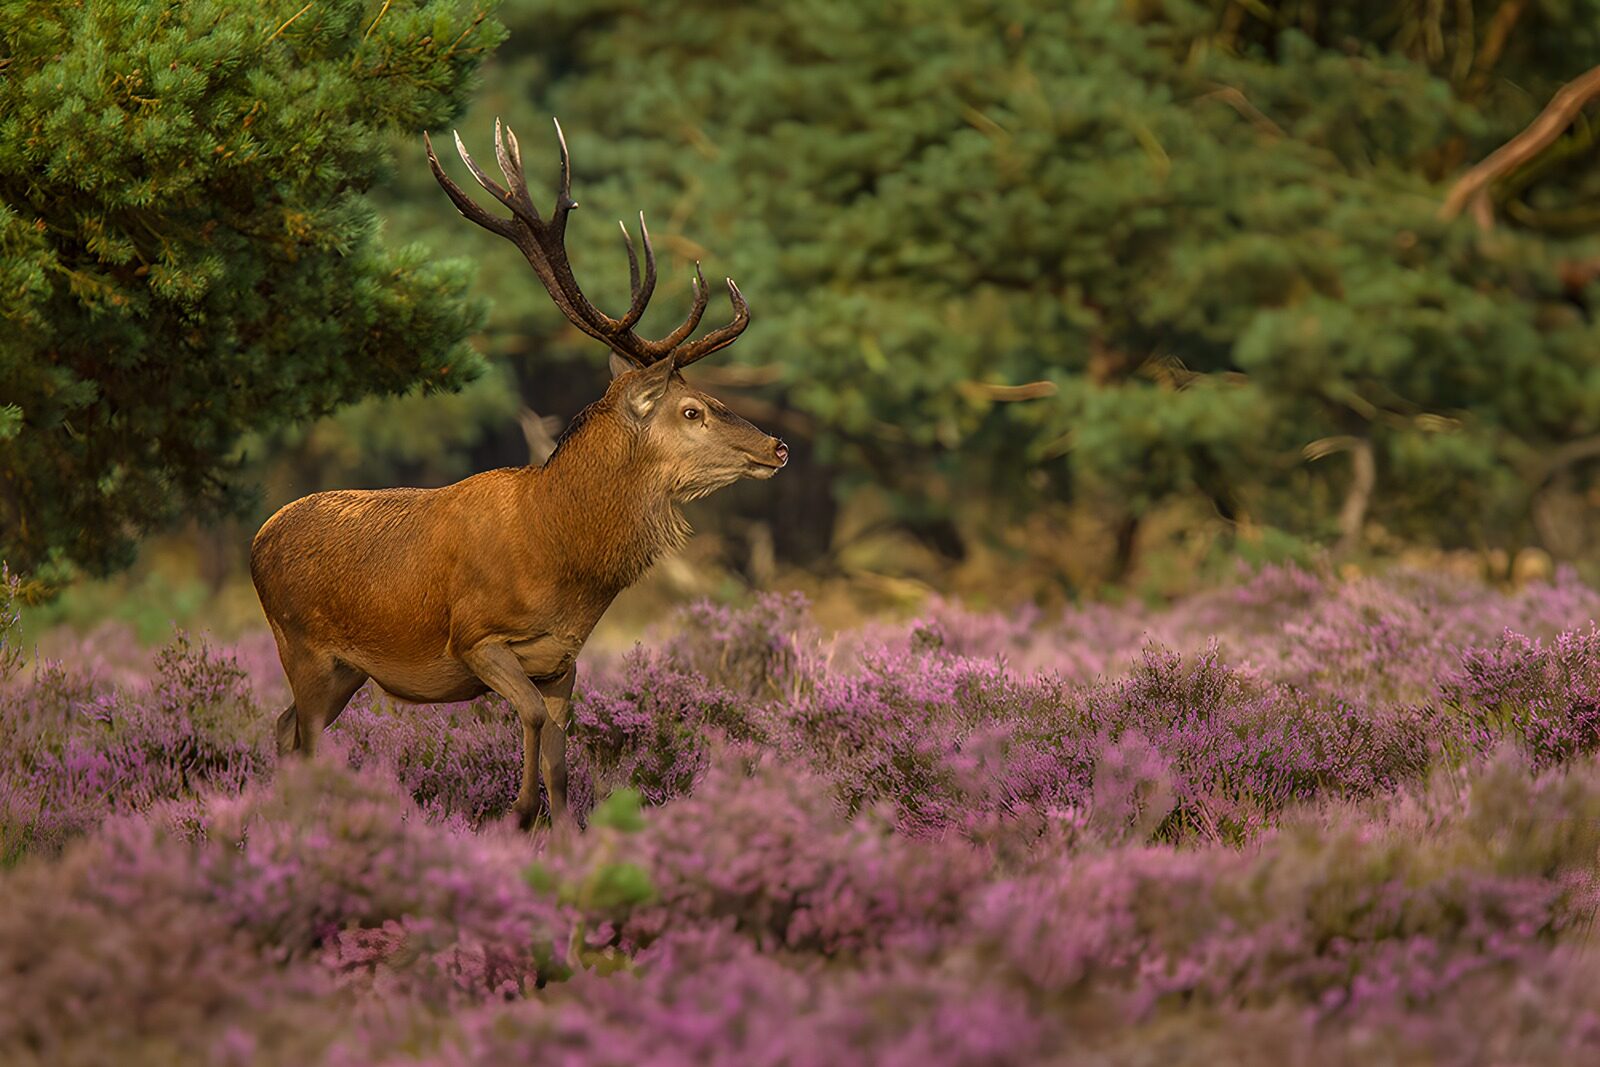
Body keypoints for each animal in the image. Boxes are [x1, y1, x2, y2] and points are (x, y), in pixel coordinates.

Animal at [250, 119, 787, 830]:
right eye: (692, 409)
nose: (778, 446)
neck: (561, 559)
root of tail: (257, 540)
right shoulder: (475, 637)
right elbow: (528, 718)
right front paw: (518, 811)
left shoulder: (564, 661)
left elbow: (561, 758)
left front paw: (560, 829)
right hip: (302, 646)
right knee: (304, 738)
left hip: (345, 672)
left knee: (283, 729)